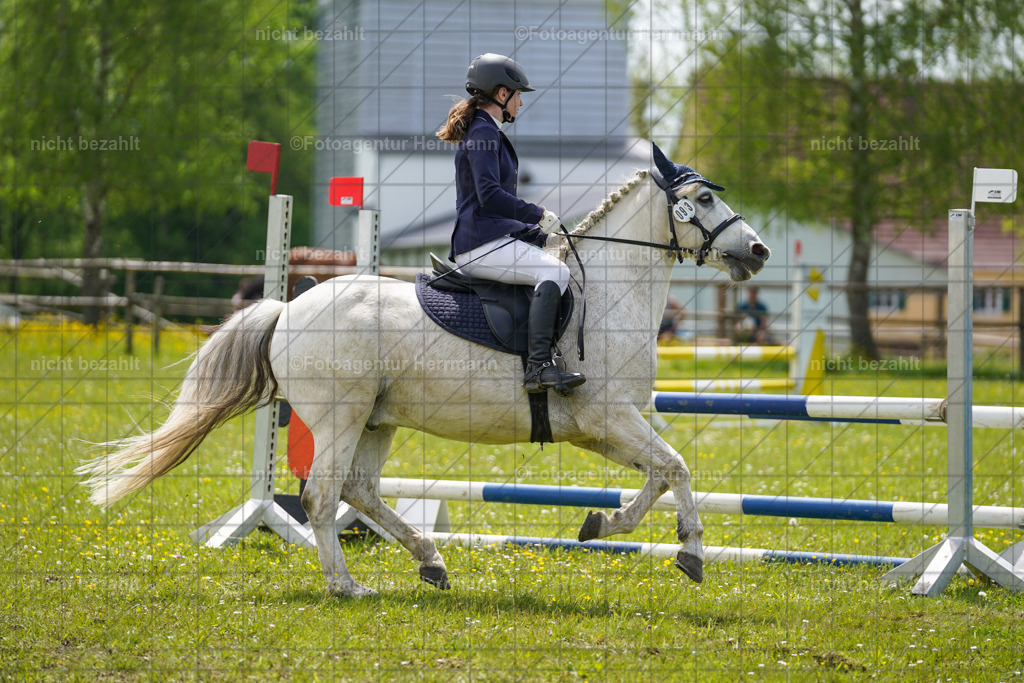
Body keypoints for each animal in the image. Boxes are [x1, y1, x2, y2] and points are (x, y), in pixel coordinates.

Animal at [78, 151, 770, 598]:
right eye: (704, 199)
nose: (759, 250)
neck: (608, 291)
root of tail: (287, 307)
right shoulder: (608, 416)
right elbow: (677, 468)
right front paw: (690, 552)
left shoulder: (605, 426)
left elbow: (660, 474)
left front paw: (606, 523)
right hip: (340, 416)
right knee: (321, 496)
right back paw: (347, 585)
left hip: (376, 420)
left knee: (360, 491)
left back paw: (430, 561)